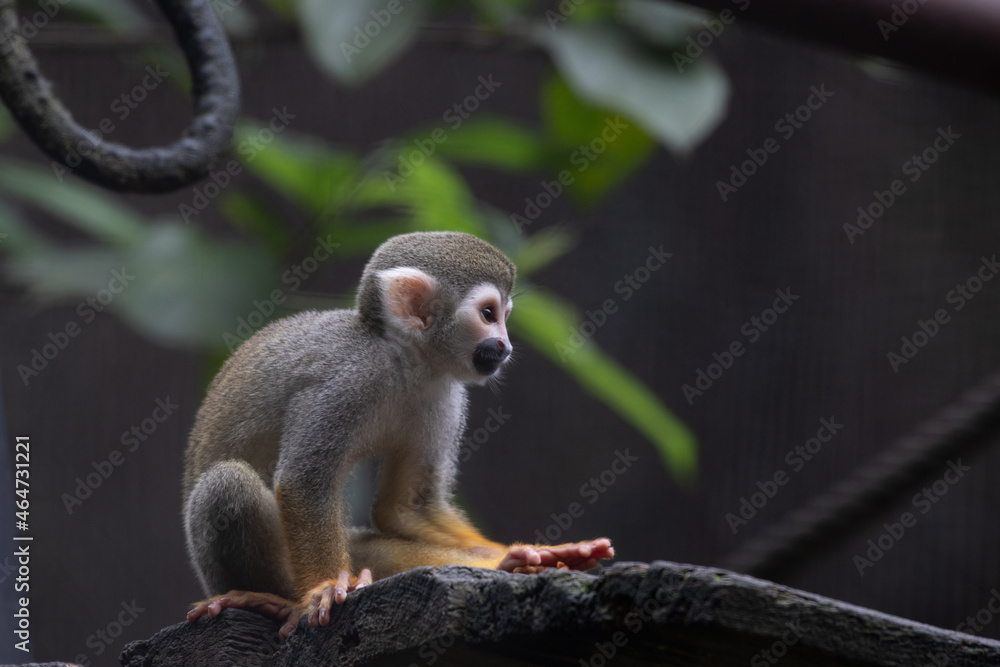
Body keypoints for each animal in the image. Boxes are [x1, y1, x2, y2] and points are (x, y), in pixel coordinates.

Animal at [183, 231, 614, 638]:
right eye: (489, 314)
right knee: (228, 483)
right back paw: (275, 600)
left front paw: (520, 551)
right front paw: (324, 587)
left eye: (505, 316)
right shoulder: (345, 379)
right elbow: (303, 482)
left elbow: (406, 508)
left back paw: (507, 561)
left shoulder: (444, 395)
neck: (403, 360)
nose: (505, 345)